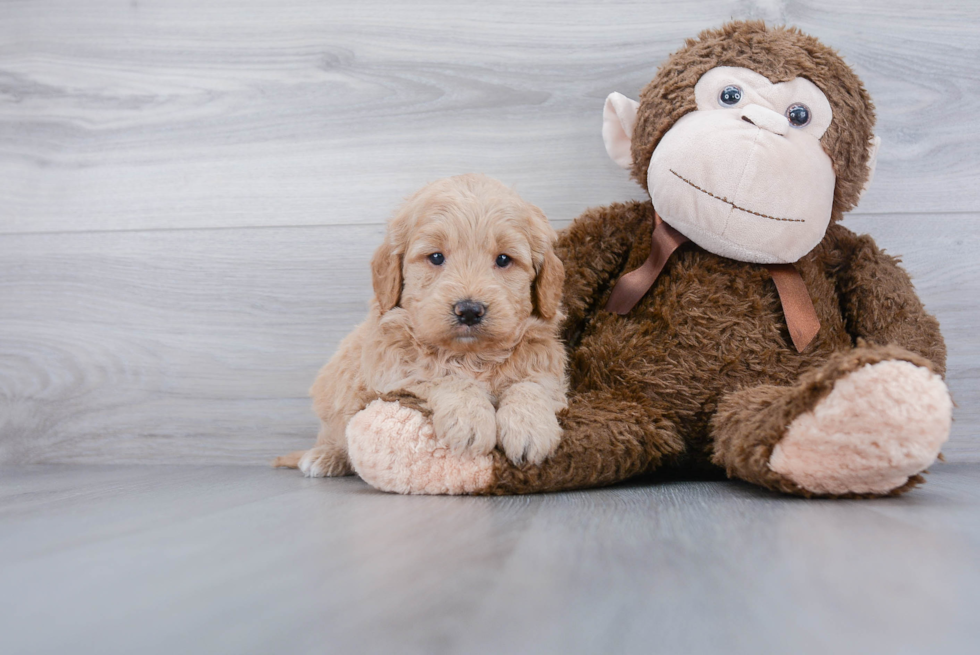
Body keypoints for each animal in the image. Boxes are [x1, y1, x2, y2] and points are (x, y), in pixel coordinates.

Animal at [274, 174, 568, 480]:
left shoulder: (548, 370)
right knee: (335, 433)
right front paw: (470, 419)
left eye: (503, 259)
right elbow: (443, 377)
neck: (470, 356)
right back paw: (324, 455)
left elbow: (530, 384)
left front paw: (530, 428)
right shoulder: (397, 375)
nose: (469, 311)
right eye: (436, 257)